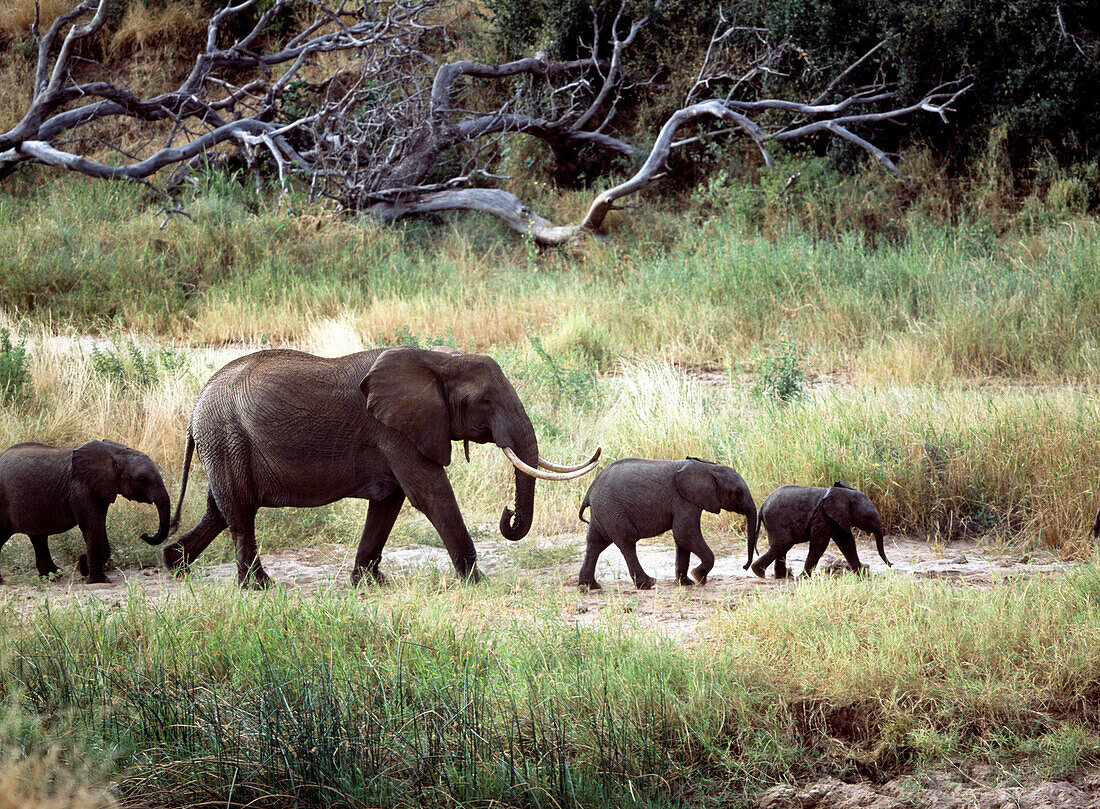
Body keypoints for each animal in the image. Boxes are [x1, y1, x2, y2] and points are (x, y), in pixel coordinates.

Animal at [0, 440, 170, 585]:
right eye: (142, 479)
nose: (144, 535)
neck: (114, 451)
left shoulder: (100, 487)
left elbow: (100, 525)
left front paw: (83, 565)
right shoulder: (81, 488)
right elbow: (93, 526)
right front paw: (99, 580)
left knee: (38, 537)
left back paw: (53, 576)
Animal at [160, 345, 602, 589]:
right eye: (486, 401)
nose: (508, 514)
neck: (437, 360)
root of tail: (196, 408)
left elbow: (390, 502)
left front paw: (369, 585)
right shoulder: (394, 430)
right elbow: (430, 493)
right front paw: (477, 584)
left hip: (223, 443)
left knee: (220, 509)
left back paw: (174, 563)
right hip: (226, 436)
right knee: (240, 511)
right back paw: (259, 588)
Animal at [576, 457, 756, 589]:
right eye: (738, 493)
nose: (744, 567)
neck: (708, 467)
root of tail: (590, 490)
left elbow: (682, 540)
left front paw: (686, 583)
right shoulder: (684, 500)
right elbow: (685, 534)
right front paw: (698, 577)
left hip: (603, 512)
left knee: (595, 543)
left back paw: (590, 586)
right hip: (612, 510)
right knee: (627, 541)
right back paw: (648, 583)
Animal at [748, 477, 893, 581]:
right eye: (869, 517)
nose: (891, 565)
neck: (845, 494)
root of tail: (762, 505)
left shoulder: (836, 518)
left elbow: (847, 543)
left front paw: (864, 577)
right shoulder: (822, 517)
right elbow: (820, 544)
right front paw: (804, 578)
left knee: (782, 545)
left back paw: (779, 577)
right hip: (775, 519)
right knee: (784, 543)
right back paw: (759, 573)